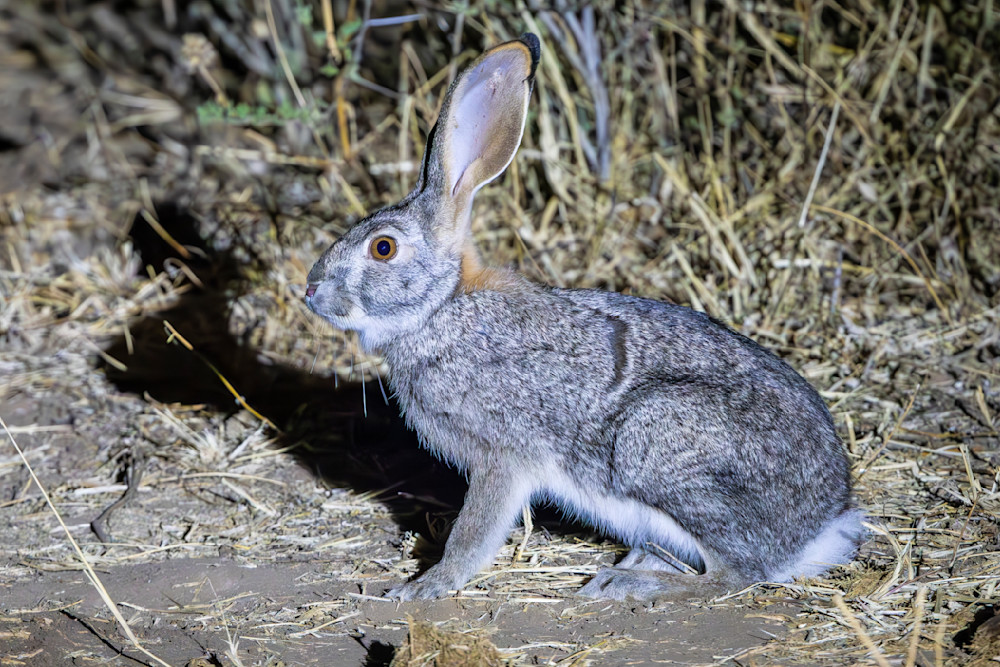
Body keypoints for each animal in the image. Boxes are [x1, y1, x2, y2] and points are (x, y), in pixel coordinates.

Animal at [304, 33, 864, 601]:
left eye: (383, 248)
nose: (311, 289)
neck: (441, 306)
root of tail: (820, 528)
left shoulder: (502, 455)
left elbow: (475, 530)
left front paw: (426, 586)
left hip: (656, 439)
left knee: (735, 573)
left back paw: (629, 583)